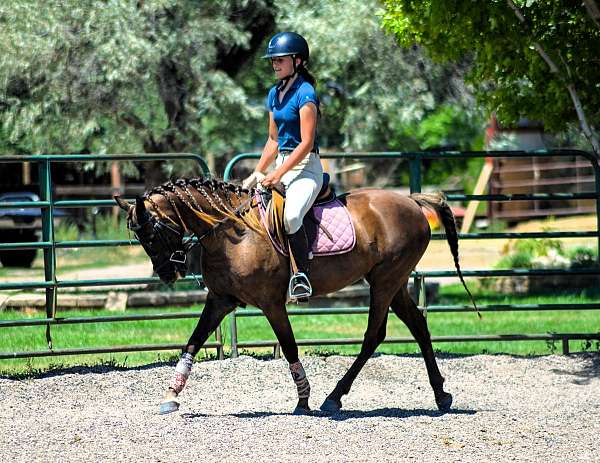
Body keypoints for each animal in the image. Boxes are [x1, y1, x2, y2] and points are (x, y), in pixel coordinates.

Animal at [115, 178, 476, 416]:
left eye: (151, 234)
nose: (166, 274)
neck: (232, 234)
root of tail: (412, 202)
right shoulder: (220, 300)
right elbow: (192, 342)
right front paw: (171, 395)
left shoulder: (271, 304)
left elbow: (288, 346)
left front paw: (303, 400)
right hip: (393, 282)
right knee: (418, 326)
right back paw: (441, 394)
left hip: (386, 282)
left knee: (374, 335)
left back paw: (334, 397)